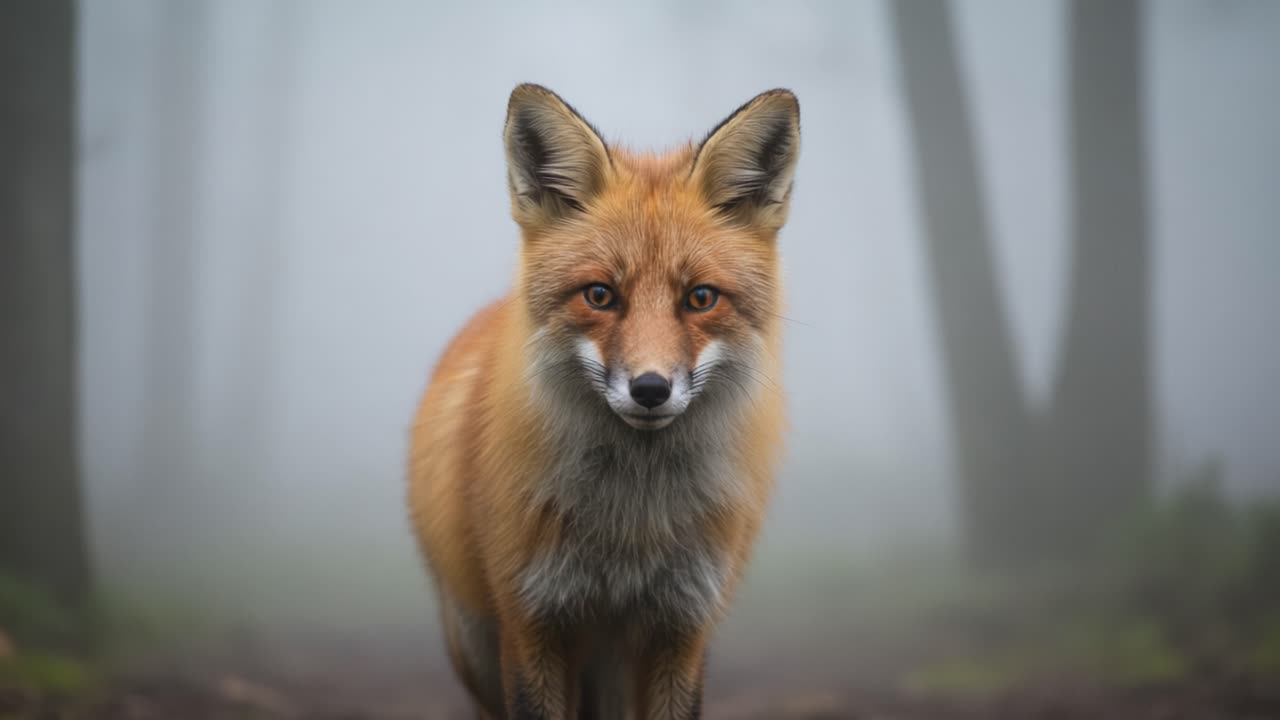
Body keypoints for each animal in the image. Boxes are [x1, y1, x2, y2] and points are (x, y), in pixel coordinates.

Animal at [408, 84, 800, 719]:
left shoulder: (683, 627)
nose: (650, 389)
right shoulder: (532, 624)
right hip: (476, 648)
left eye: (700, 298)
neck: (628, 532)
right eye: (600, 295)